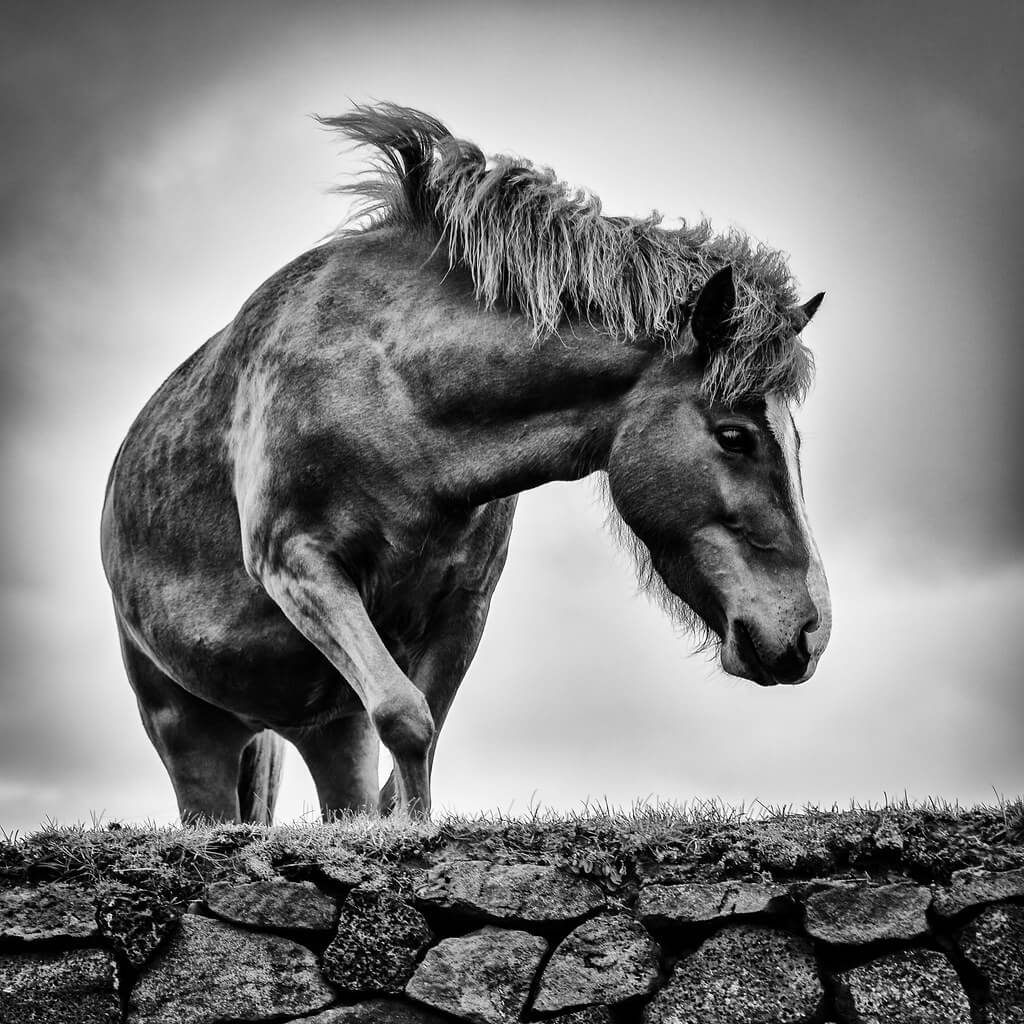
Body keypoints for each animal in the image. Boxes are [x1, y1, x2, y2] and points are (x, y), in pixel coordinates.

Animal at [97, 103, 831, 823]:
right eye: (734, 436)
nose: (809, 633)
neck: (398, 393)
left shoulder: (464, 605)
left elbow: (413, 749)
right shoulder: (300, 565)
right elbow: (406, 717)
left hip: (330, 727)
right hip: (189, 728)